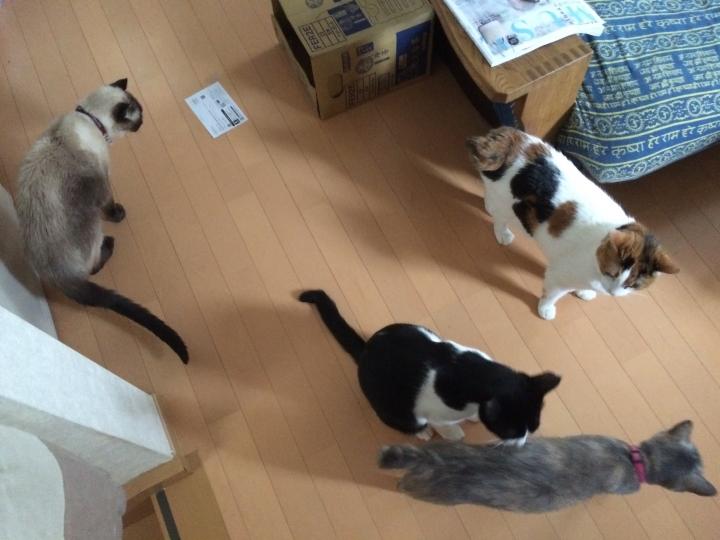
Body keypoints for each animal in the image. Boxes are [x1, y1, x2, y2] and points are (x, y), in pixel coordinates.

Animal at [15, 79, 188, 363]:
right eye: (138, 117)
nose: (144, 123)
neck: (89, 121)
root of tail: (60, 277)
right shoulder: (104, 183)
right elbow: (110, 205)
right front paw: (119, 214)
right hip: (94, 228)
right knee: (95, 265)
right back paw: (110, 243)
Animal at [299, 290, 560, 443]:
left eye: (533, 428)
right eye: (511, 432)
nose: (521, 444)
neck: (475, 372)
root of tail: (365, 350)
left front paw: (473, 418)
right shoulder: (436, 412)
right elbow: (446, 428)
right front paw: (455, 434)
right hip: (389, 405)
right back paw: (422, 432)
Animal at [466, 127, 679, 320]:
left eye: (632, 285)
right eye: (611, 273)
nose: (612, 293)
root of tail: (510, 138)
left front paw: (585, 292)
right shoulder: (559, 274)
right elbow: (553, 294)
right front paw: (546, 309)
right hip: (505, 200)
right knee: (500, 217)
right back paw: (503, 233)